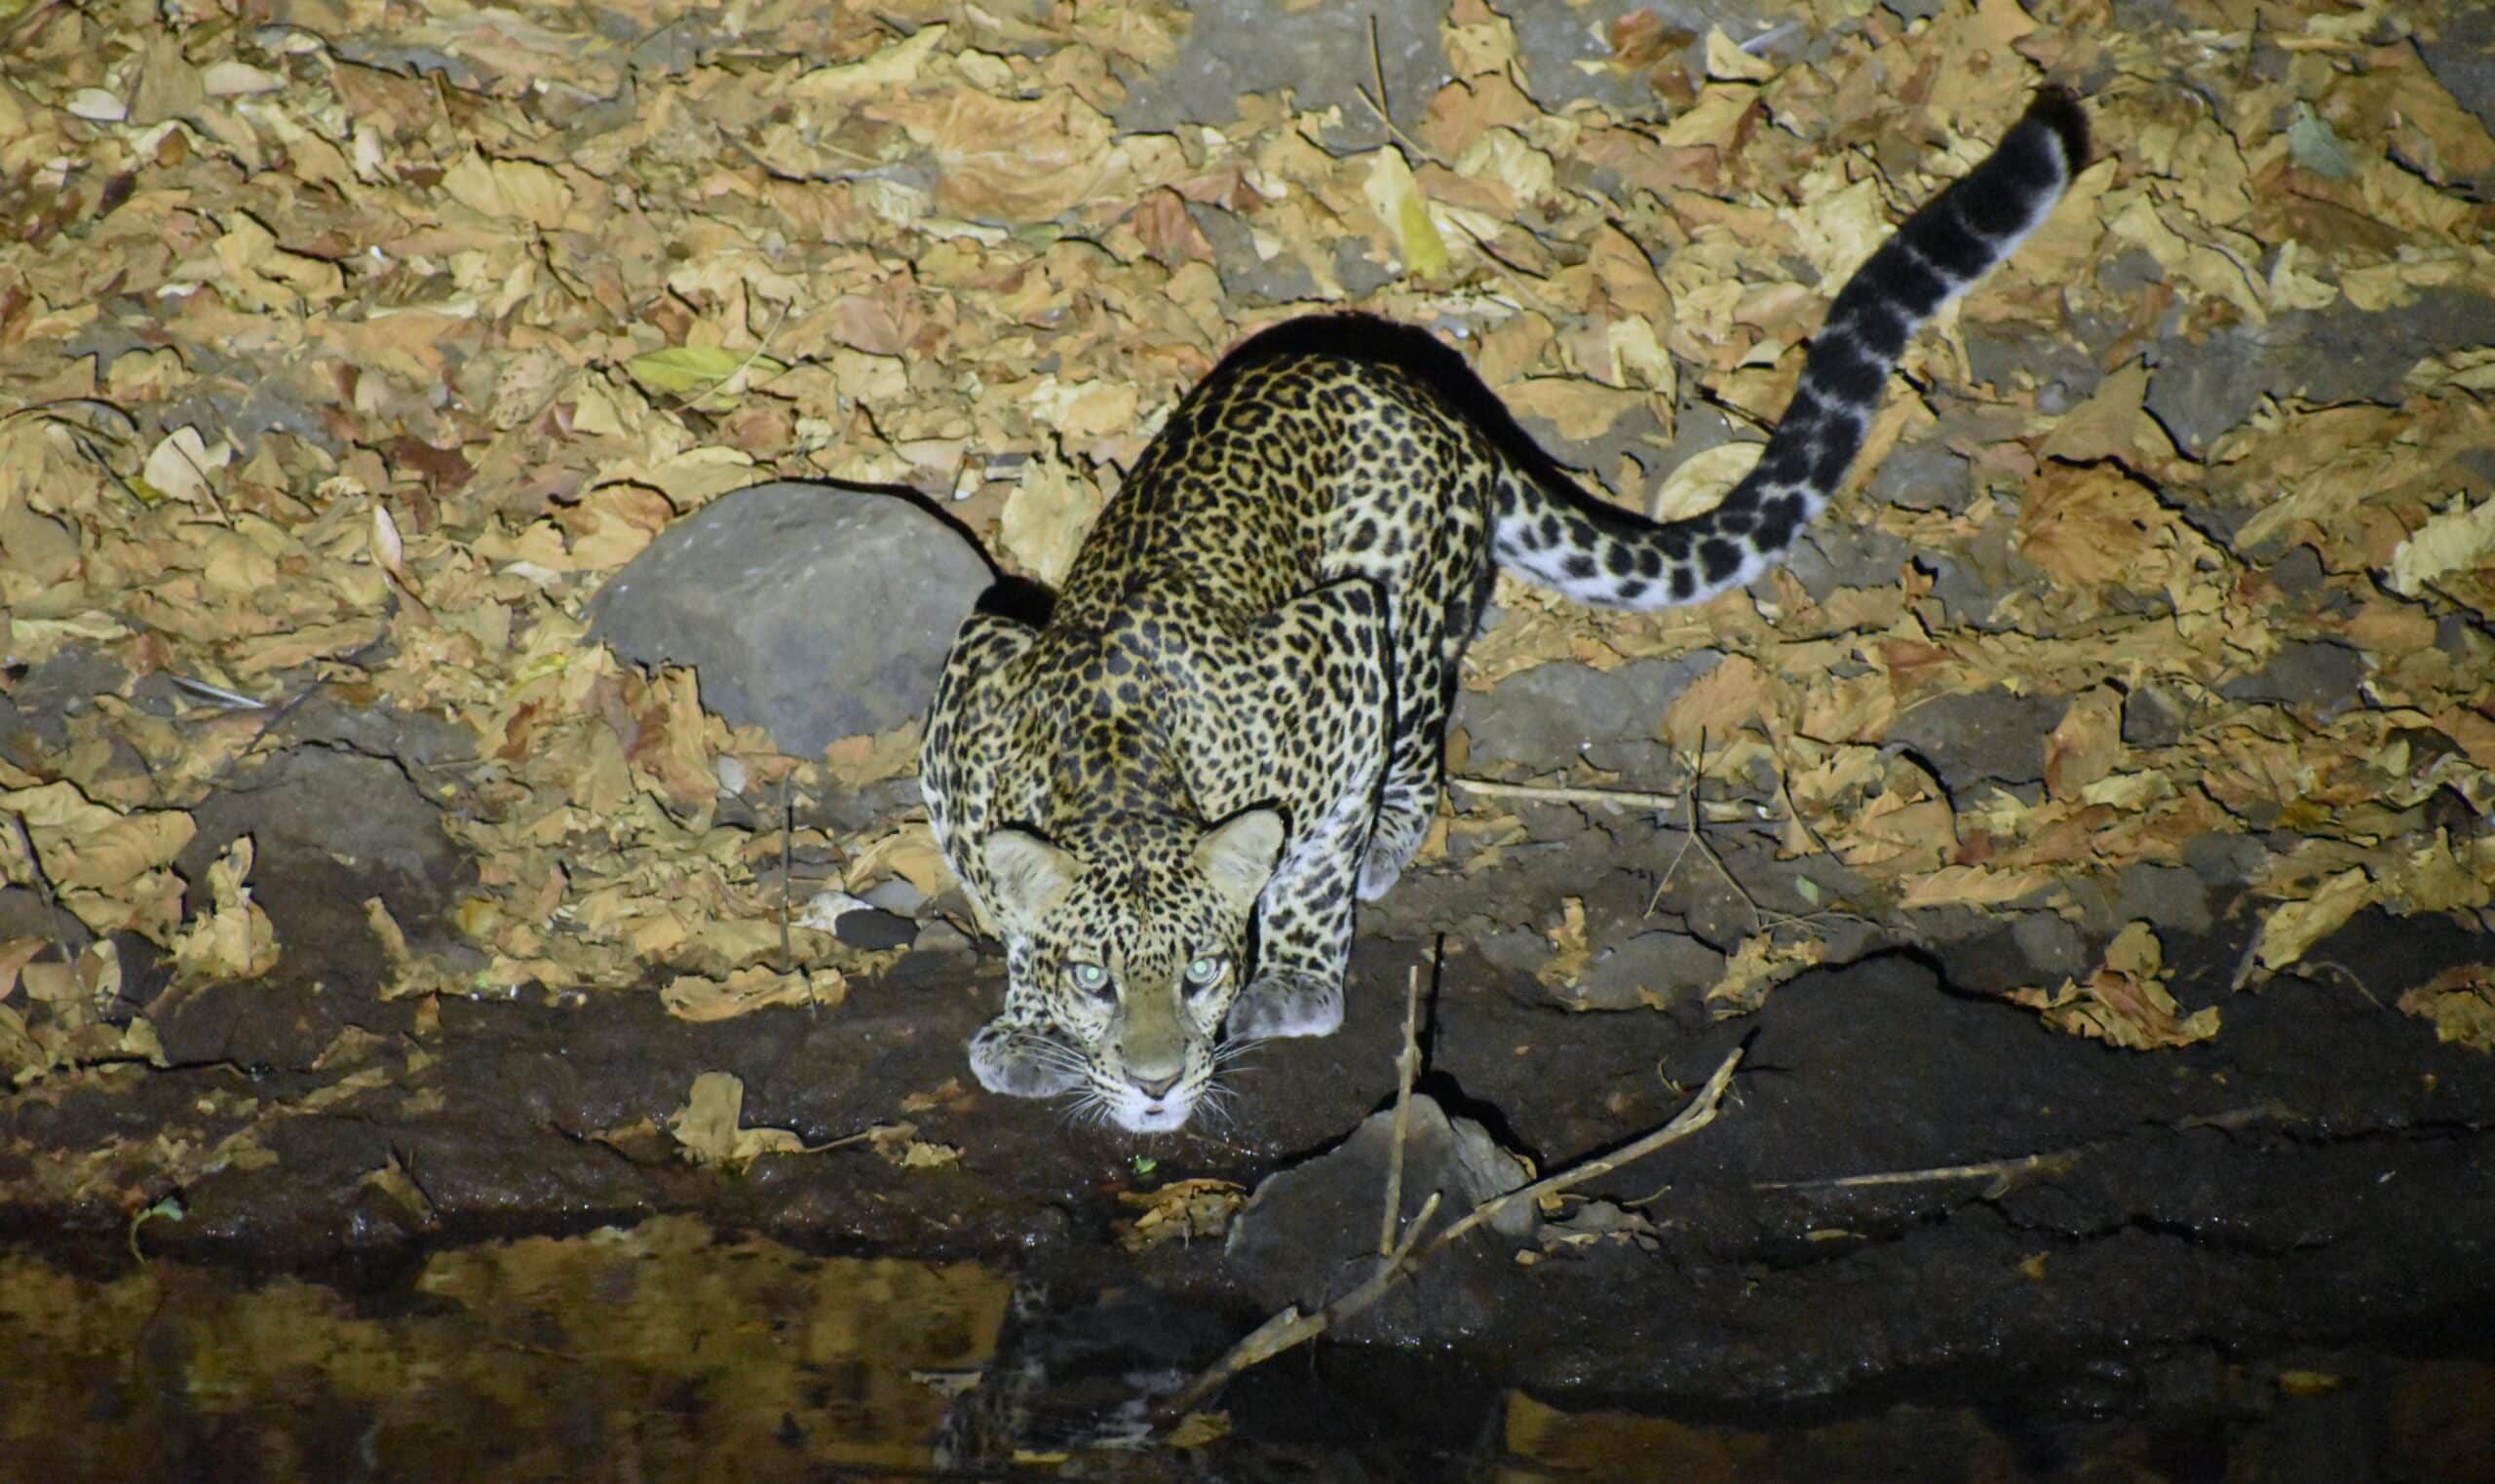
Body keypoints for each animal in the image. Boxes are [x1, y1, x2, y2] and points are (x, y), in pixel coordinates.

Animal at [920, 89, 2090, 1134]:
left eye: (1204, 969)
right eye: (1095, 977)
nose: (1159, 1083)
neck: (1118, 768)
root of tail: (1433, 397)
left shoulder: (1337, 652)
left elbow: (1310, 860)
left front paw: (1296, 975)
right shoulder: (974, 677)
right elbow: (1000, 892)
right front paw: (1029, 1018)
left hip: (1404, 604)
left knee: (1416, 749)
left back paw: (1386, 843)